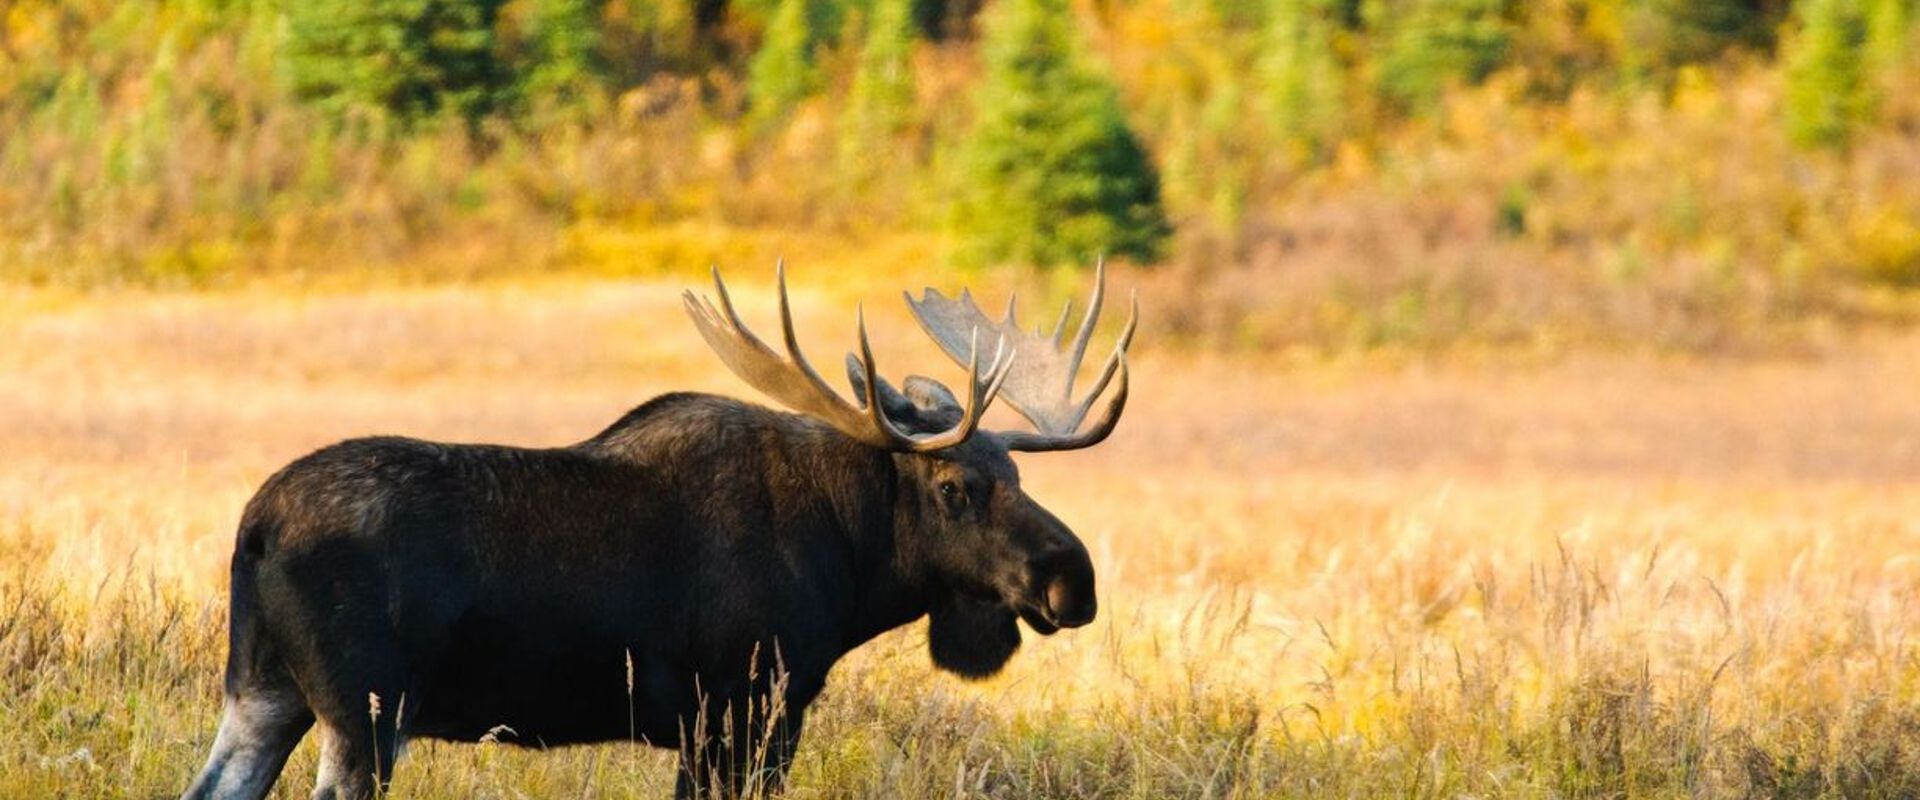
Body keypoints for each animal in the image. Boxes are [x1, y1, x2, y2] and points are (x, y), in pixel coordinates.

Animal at [181, 263, 1136, 799]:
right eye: (954, 485)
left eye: (1020, 476)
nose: (1072, 578)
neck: (852, 562)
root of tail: (255, 528)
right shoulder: (744, 709)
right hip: (366, 711)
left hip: (264, 693)